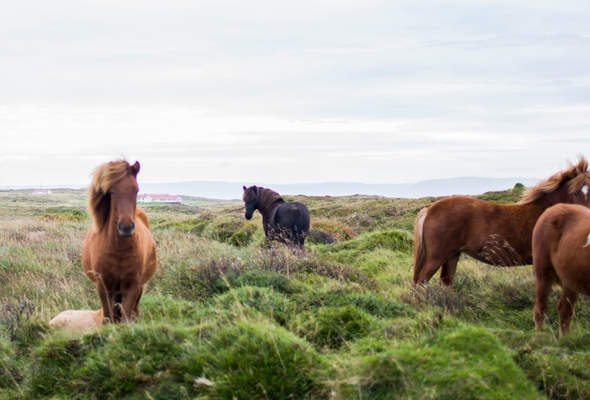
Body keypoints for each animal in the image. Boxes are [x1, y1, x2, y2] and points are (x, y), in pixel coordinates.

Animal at [82, 159, 160, 322]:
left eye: (136, 190)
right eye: (111, 192)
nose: (126, 227)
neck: (118, 250)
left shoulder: (132, 286)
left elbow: (126, 318)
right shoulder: (104, 287)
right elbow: (108, 318)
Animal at [414, 158, 590, 286]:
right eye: (575, 192)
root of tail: (430, 209)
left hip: (452, 255)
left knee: (445, 282)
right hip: (436, 257)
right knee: (421, 282)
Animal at [536, 203, 590, 334]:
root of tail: (554, 207)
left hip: (570, 280)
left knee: (565, 311)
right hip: (543, 274)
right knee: (541, 308)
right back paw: (538, 335)